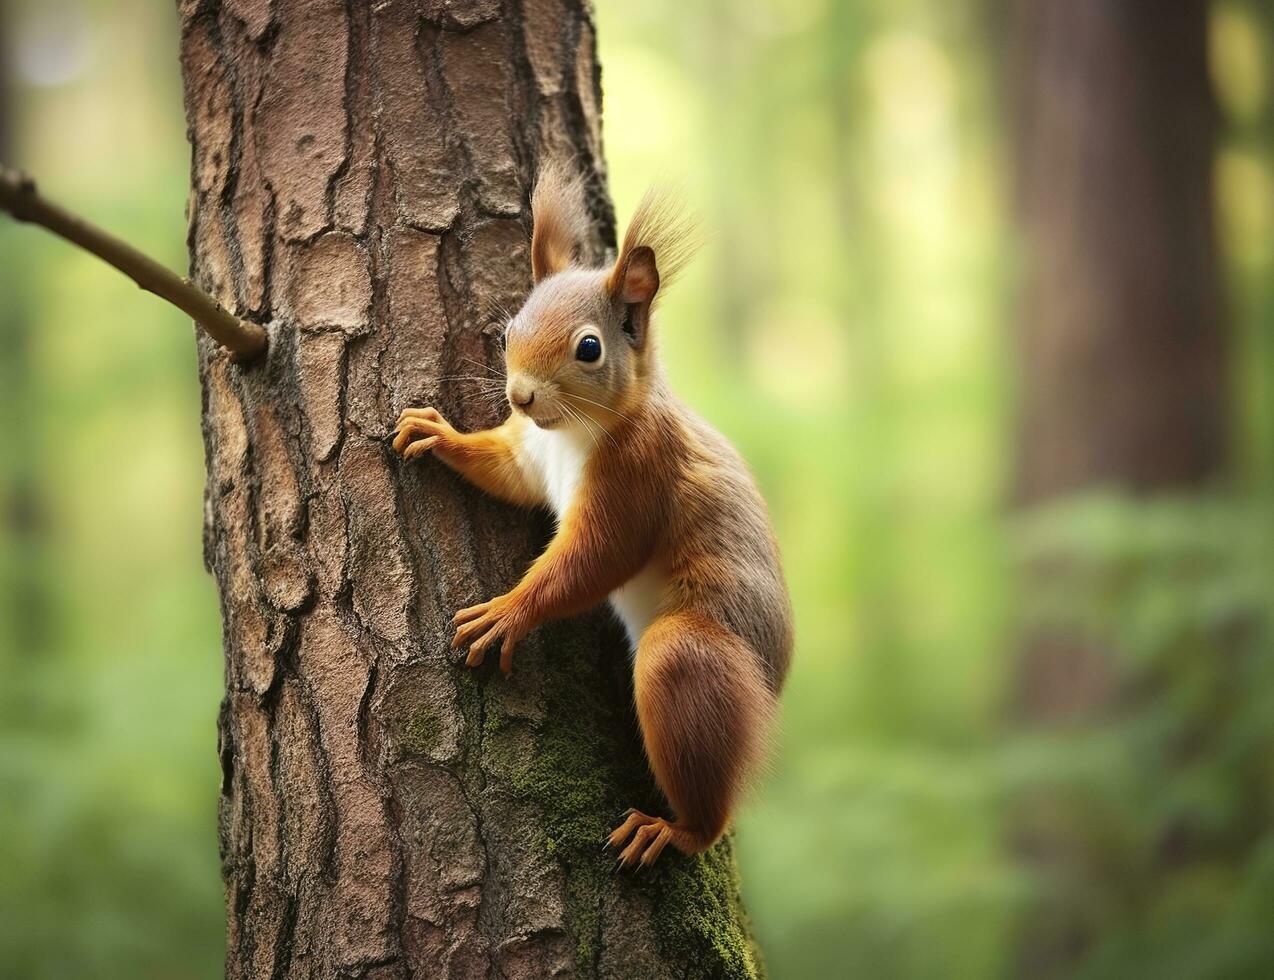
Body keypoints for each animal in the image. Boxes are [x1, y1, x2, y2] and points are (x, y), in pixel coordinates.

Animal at [387, 164, 789, 866]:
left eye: (590, 348)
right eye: (510, 329)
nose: (520, 395)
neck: (573, 433)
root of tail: (772, 693)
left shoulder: (637, 478)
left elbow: (593, 559)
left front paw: (506, 613)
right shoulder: (530, 456)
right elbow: (506, 475)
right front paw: (439, 434)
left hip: (691, 657)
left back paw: (674, 829)